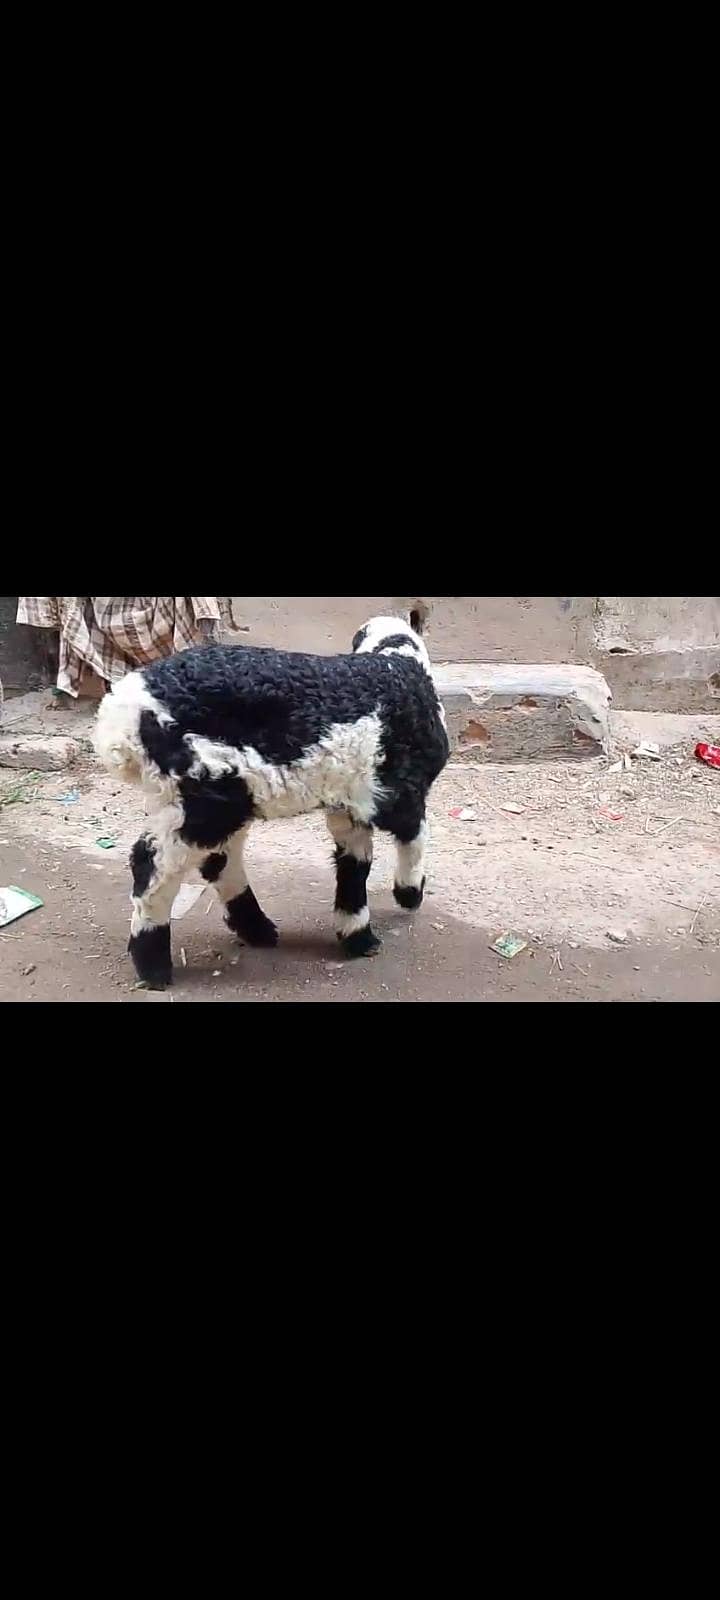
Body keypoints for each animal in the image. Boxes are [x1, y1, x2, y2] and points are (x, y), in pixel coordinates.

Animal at [93, 609, 450, 988]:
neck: (396, 662)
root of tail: (120, 717)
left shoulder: (348, 804)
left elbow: (355, 863)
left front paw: (356, 934)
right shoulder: (402, 791)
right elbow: (414, 837)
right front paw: (409, 893)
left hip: (219, 794)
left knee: (220, 860)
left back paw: (257, 929)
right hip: (205, 791)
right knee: (154, 865)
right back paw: (154, 965)